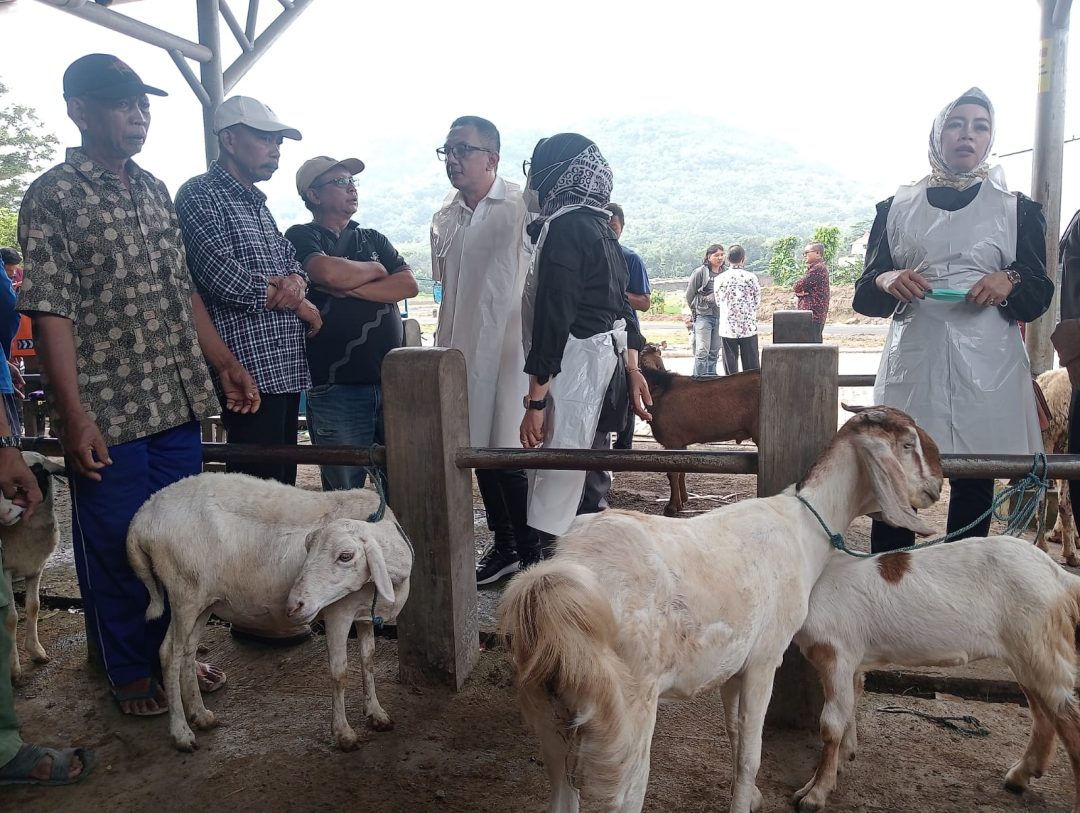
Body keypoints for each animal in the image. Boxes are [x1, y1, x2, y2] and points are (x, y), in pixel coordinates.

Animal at [1, 453, 65, 682]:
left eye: (36, 471)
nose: (4, 512)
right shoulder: (5, 569)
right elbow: (11, 618)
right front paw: (12, 669)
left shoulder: (36, 567)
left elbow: (34, 606)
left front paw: (36, 651)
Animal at [125, 472, 412, 751]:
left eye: (346, 556)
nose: (295, 605)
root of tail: (143, 516)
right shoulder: (338, 613)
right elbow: (339, 672)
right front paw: (344, 733)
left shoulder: (364, 616)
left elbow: (368, 661)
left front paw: (376, 713)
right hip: (183, 593)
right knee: (169, 654)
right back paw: (181, 733)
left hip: (203, 599)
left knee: (187, 650)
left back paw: (201, 715)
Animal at [498, 405, 946, 811]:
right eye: (908, 444)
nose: (936, 487)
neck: (803, 529)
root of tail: (551, 586)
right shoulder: (765, 658)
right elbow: (751, 752)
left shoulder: (734, 665)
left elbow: (733, 732)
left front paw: (751, 796)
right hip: (625, 714)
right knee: (624, 796)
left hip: (551, 717)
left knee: (561, 793)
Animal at [639, 343, 760, 513]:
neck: (661, 387)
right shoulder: (681, 443)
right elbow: (682, 470)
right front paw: (683, 499)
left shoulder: (672, 441)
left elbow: (672, 472)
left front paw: (672, 506)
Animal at [790, 533, 1080, 811]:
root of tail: (1058, 577)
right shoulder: (852, 661)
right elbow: (850, 709)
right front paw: (842, 761)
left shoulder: (835, 653)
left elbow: (831, 726)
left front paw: (814, 794)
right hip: (1027, 653)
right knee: (1044, 714)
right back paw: (1020, 776)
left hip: (1038, 645)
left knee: (1067, 716)